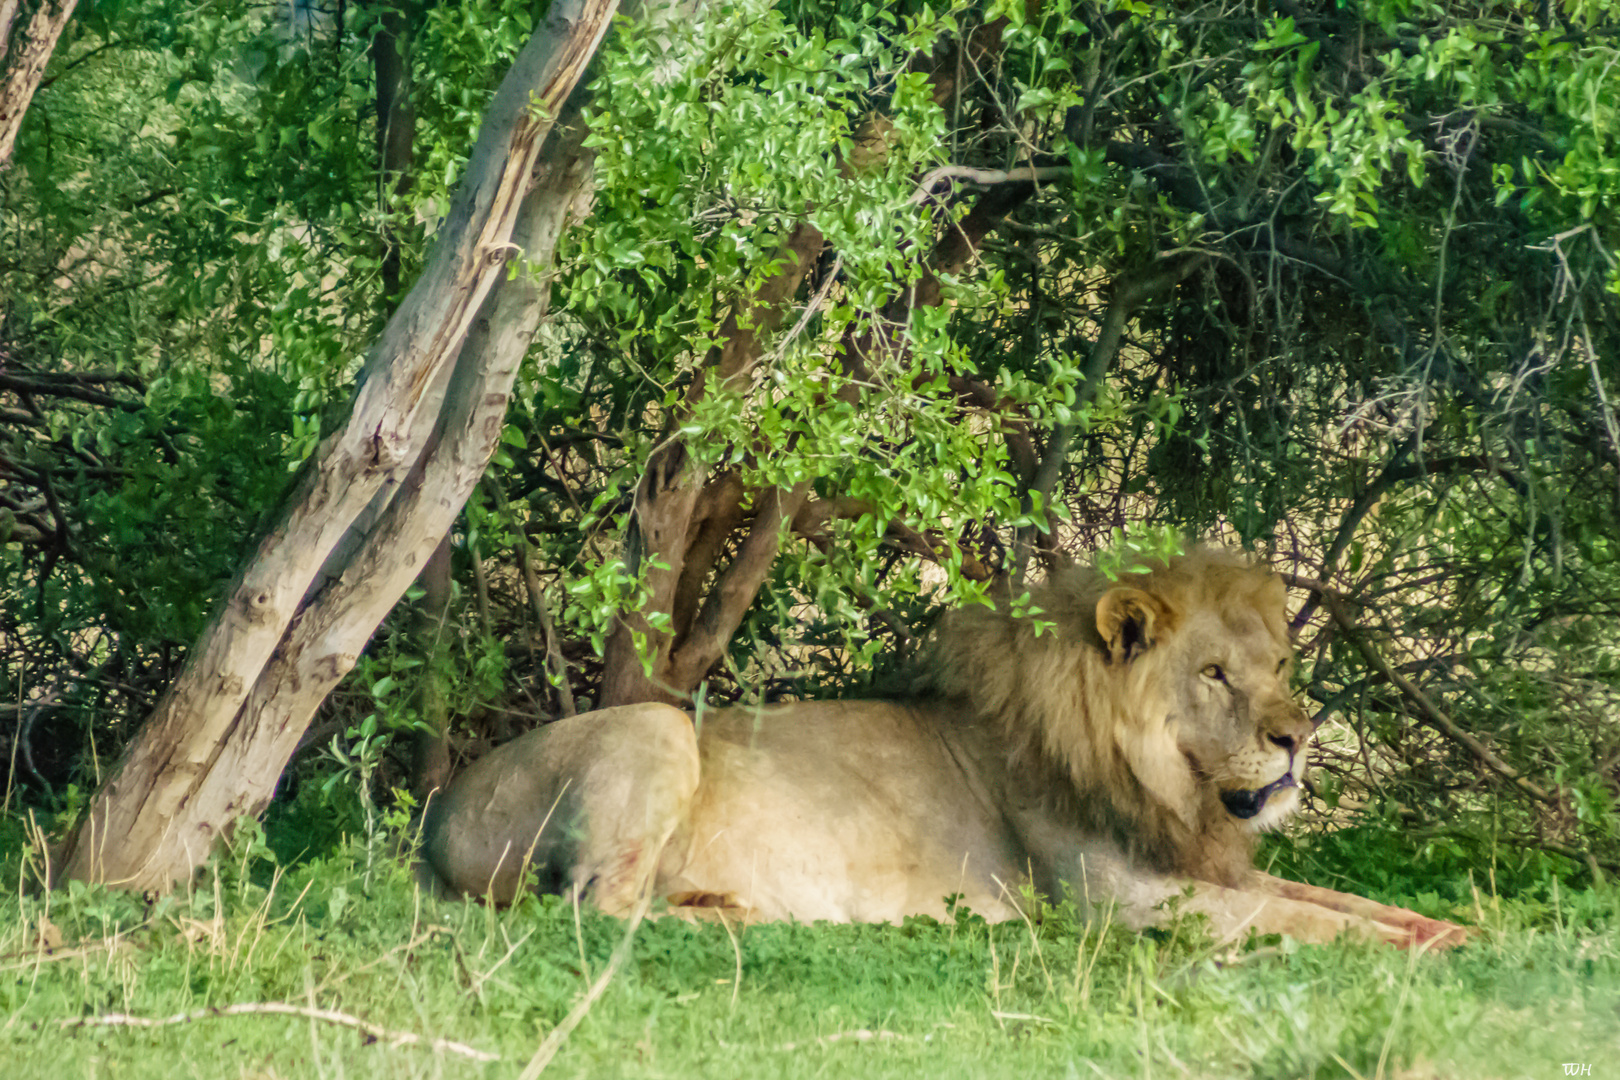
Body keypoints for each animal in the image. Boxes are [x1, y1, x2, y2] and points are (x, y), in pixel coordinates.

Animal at [421, 550, 1470, 945]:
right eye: (1213, 674)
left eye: (1280, 661)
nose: (1300, 735)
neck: (1172, 790)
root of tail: (437, 817)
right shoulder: (1120, 903)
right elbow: (1304, 922)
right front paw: (1427, 951)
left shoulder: (1205, 866)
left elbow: (1338, 902)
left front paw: (1459, 931)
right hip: (658, 726)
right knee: (594, 907)